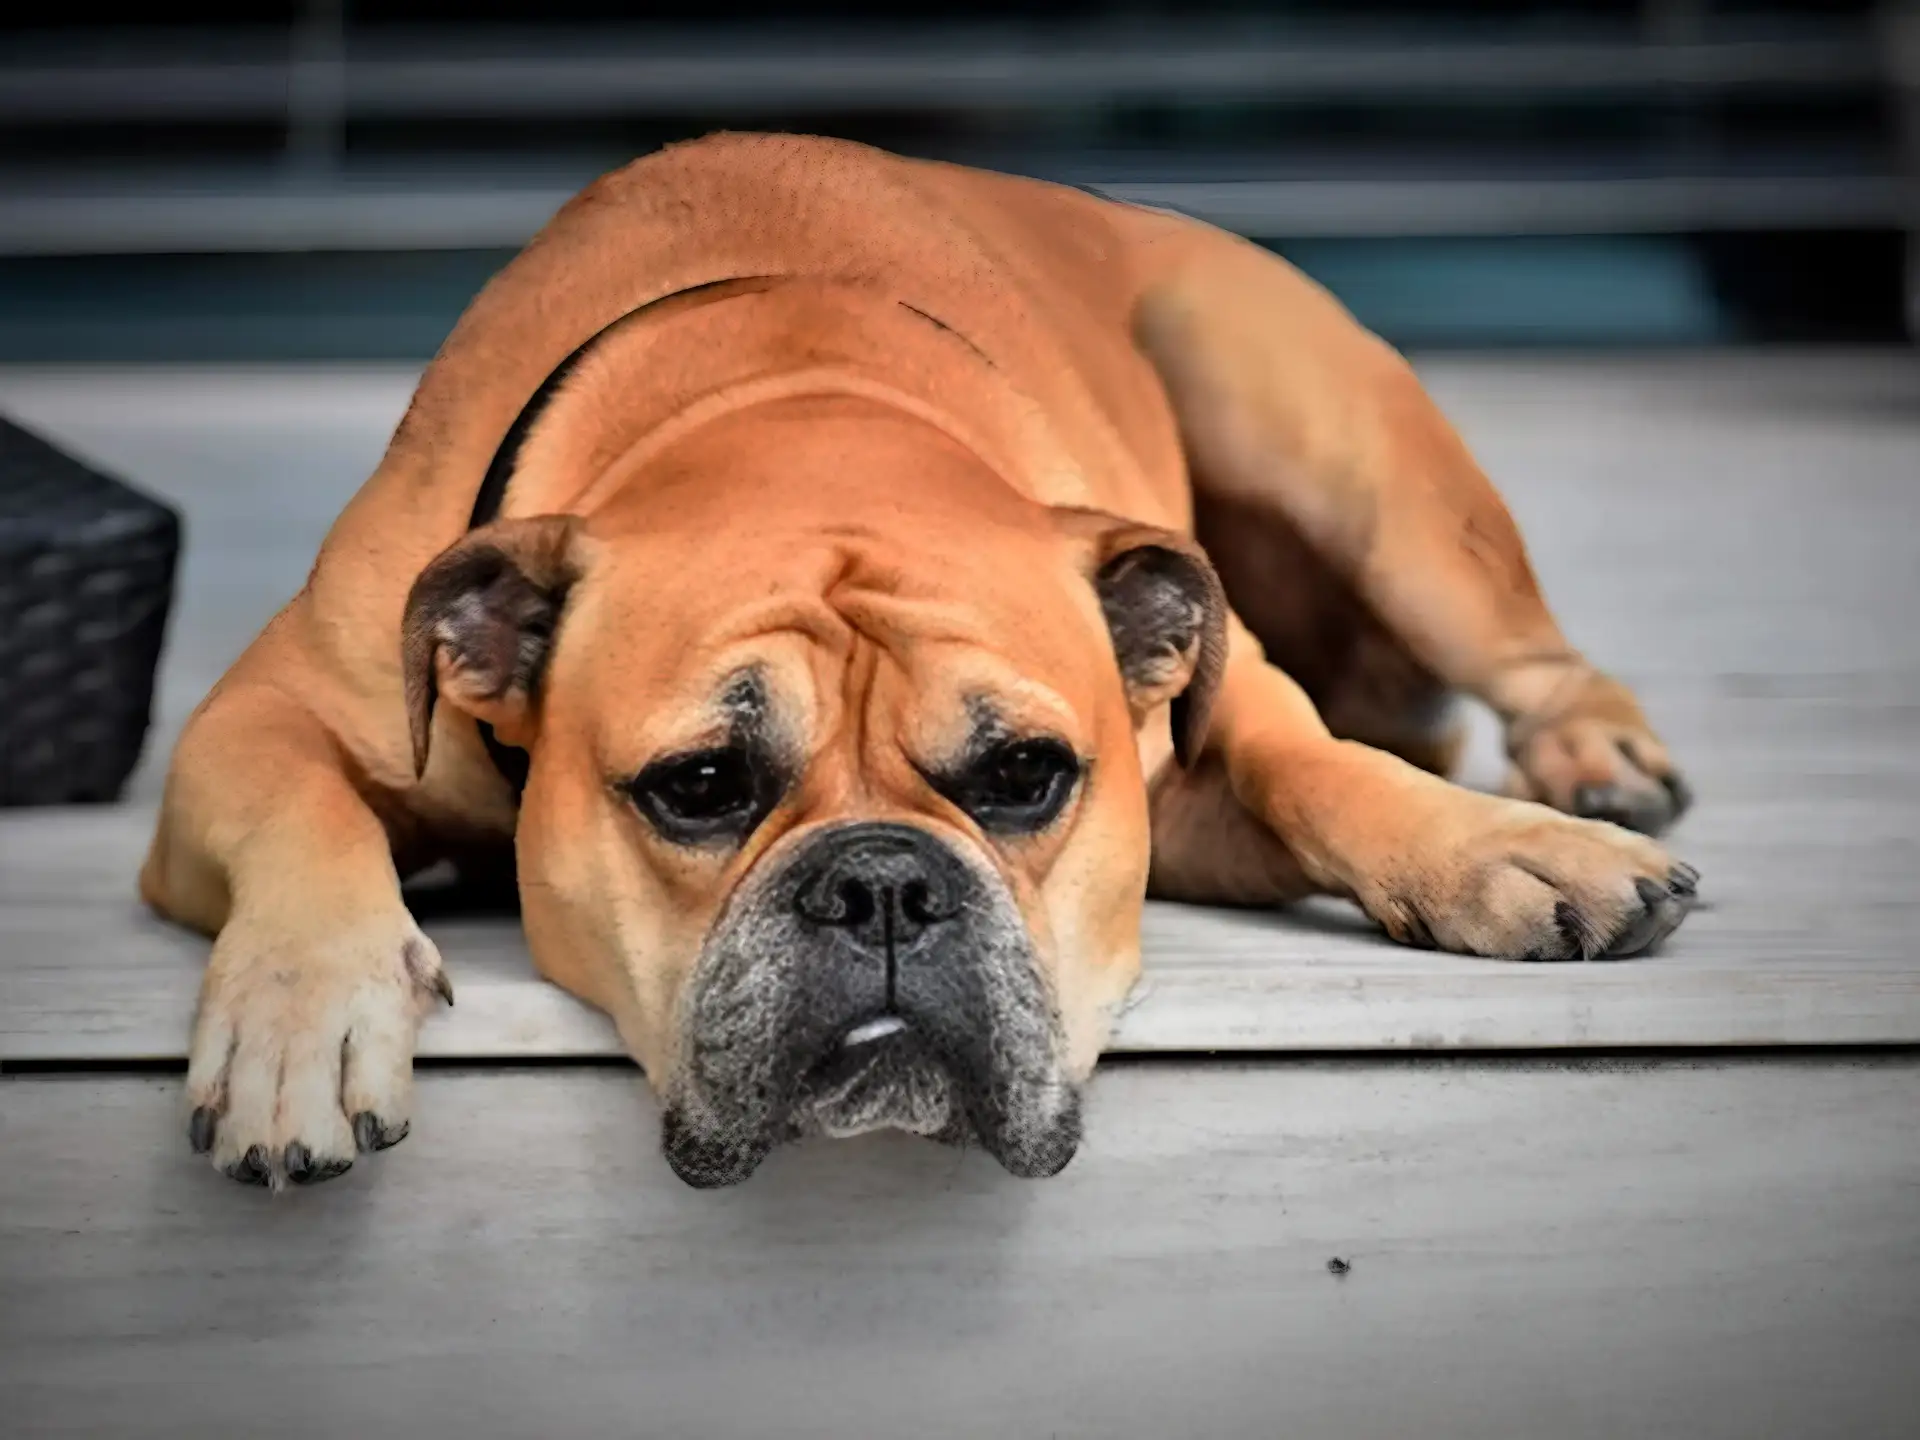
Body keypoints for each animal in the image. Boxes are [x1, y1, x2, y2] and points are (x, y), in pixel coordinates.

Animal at [139, 132, 1697, 1198]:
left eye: (1026, 774)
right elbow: (303, 807)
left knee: (1520, 656)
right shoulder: (253, 720)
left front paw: (1502, 849)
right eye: (699, 786)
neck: (791, 400)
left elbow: (1315, 764)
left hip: (1348, 457)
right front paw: (301, 1015)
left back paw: (1590, 766)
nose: (883, 883)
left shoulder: (1208, 738)